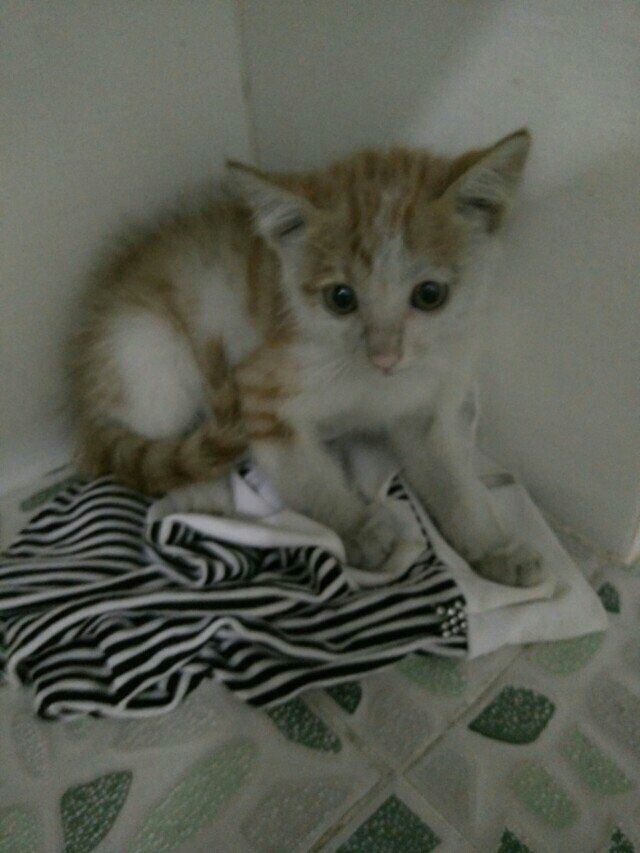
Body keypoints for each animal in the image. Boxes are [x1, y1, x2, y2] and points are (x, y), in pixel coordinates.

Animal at [72, 128, 543, 586]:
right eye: (341, 298)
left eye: (430, 294)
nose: (385, 357)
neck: (375, 384)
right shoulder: (261, 391)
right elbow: (309, 477)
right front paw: (359, 530)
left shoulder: (426, 407)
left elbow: (454, 482)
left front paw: (496, 548)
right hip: (148, 354)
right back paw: (200, 496)